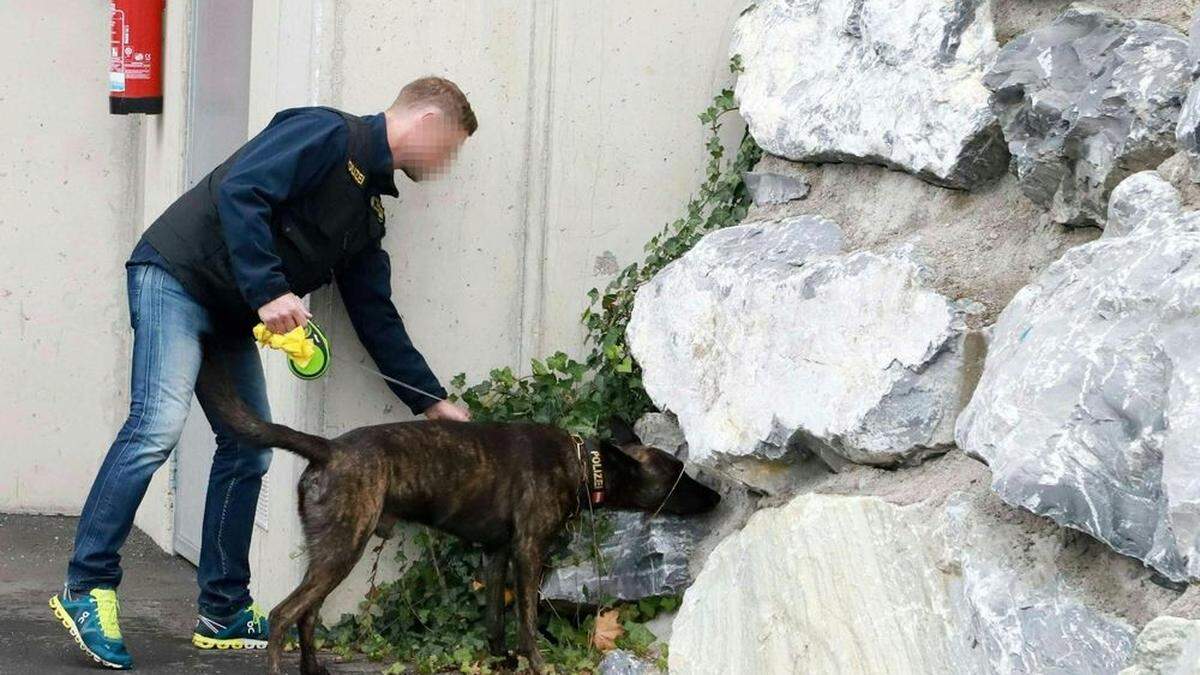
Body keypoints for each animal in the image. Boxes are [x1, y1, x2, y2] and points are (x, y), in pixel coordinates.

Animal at [198, 338, 720, 667]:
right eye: (680, 475)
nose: (716, 496)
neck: (580, 461)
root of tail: (328, 448)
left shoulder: (496, 554)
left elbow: (495, 622)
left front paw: (500, 660)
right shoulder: (528, 553)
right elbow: (528, 621)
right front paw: (535, 663)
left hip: (329, 552)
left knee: (307, 615)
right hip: (343, 549)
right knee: (285, 615)